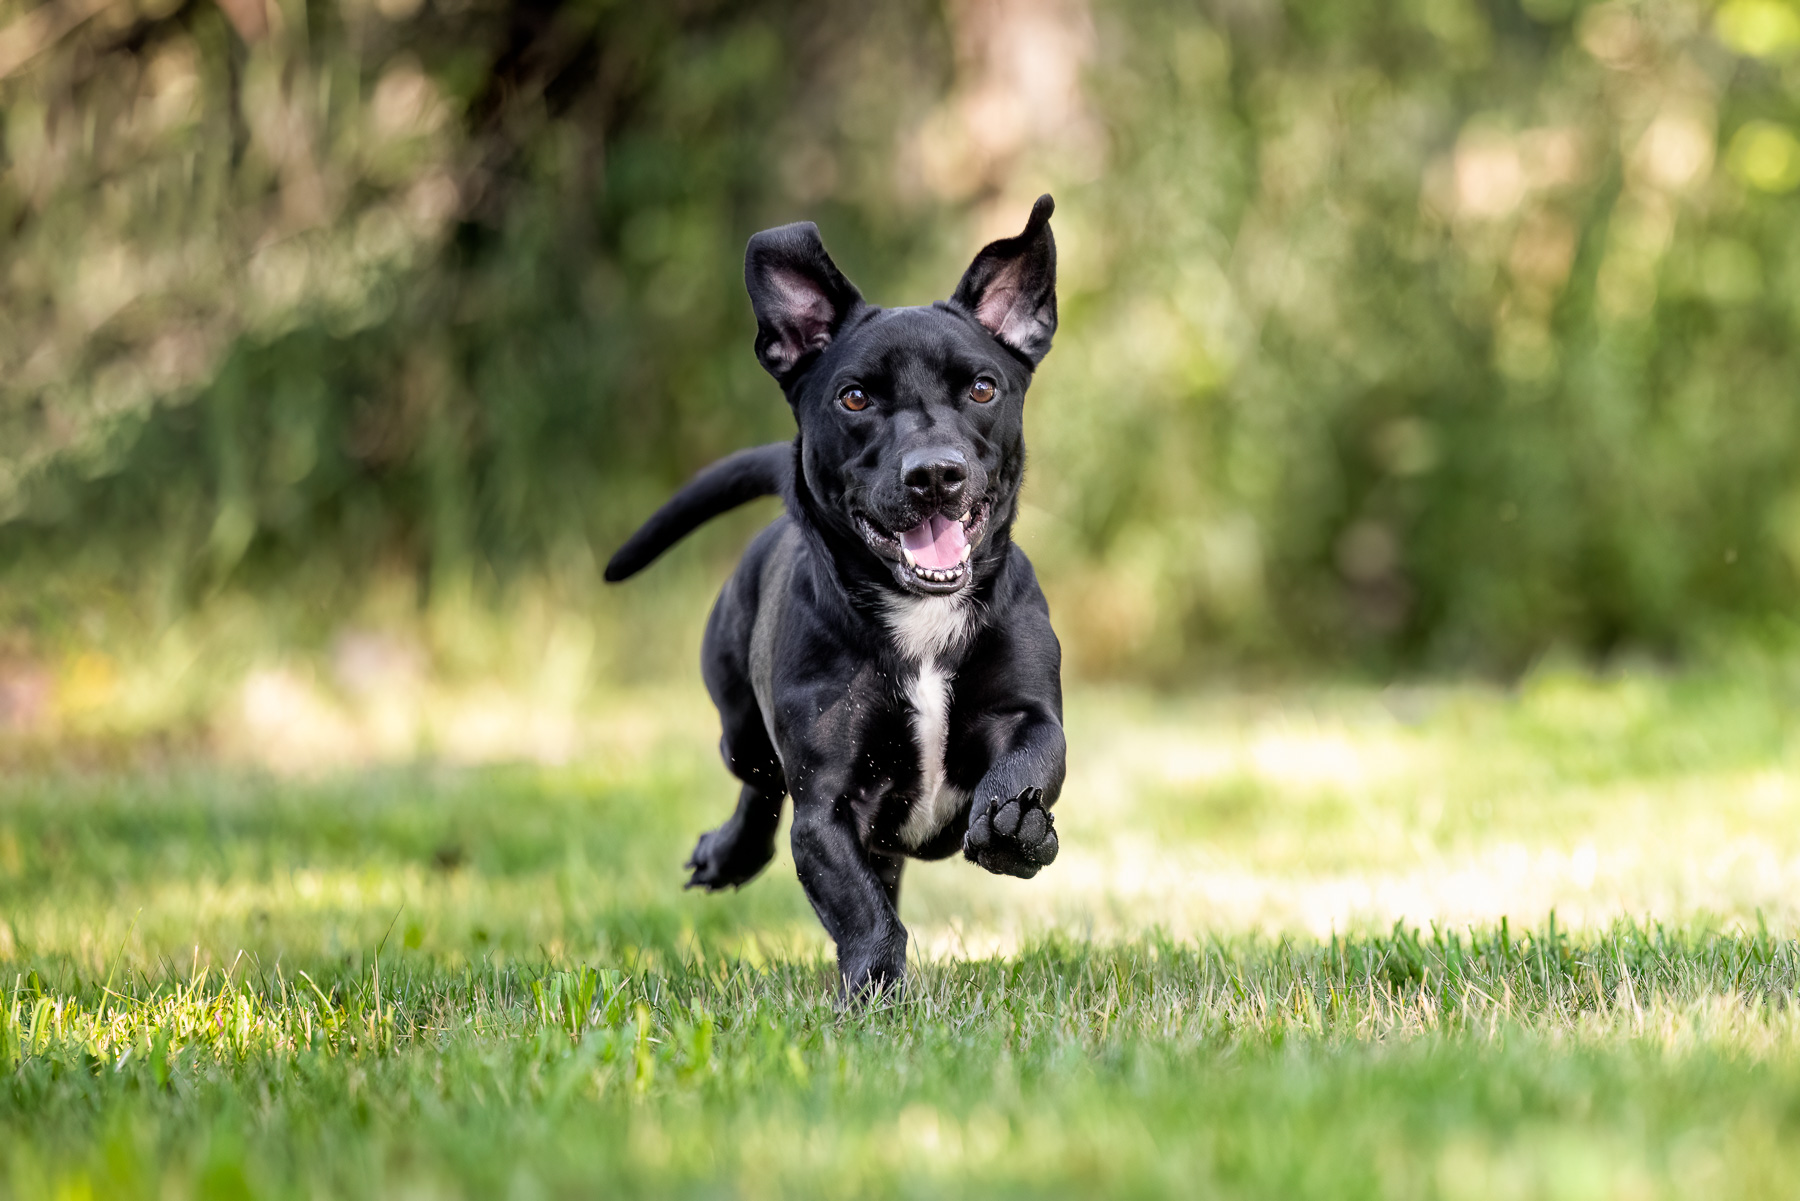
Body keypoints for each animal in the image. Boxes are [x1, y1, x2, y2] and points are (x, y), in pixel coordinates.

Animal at [604, 195, 1058, 993]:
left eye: (982, 388)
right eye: (854, 397)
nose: (933, 474)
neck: (920, 619)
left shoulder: (1033, 714)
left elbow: (1030, 761)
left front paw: (1016, 826)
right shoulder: (826, 810)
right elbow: (864, 912)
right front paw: (874, 989)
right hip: (738, 723)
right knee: (757, 790)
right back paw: (728, 853)